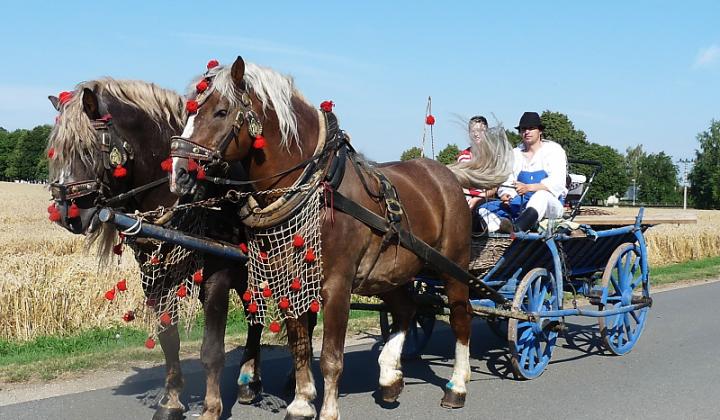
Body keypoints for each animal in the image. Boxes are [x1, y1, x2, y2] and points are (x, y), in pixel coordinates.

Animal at [45, 79, 274, 420]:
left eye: (86, 149)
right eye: (58, 154)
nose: (65, 215)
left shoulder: (217, 278)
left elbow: (212, 349)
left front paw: (212, 406)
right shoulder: (154, 277)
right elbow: (169, 339)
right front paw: (171, 400)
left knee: (264, 318)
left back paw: (255, 382)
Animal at [169, 56, 512, 420]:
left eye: (221, 112)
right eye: (189, 112)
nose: (179, 173)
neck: (314, 185)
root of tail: (447, 172)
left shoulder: (336, 284)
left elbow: (332, 357)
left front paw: (327, 410)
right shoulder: (288, 280)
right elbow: (300, 346)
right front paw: (301, 403)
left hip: (453, 265)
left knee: (462, 317)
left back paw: (457, 386)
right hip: (392, 271)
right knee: (407, 309)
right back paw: (390, 378)